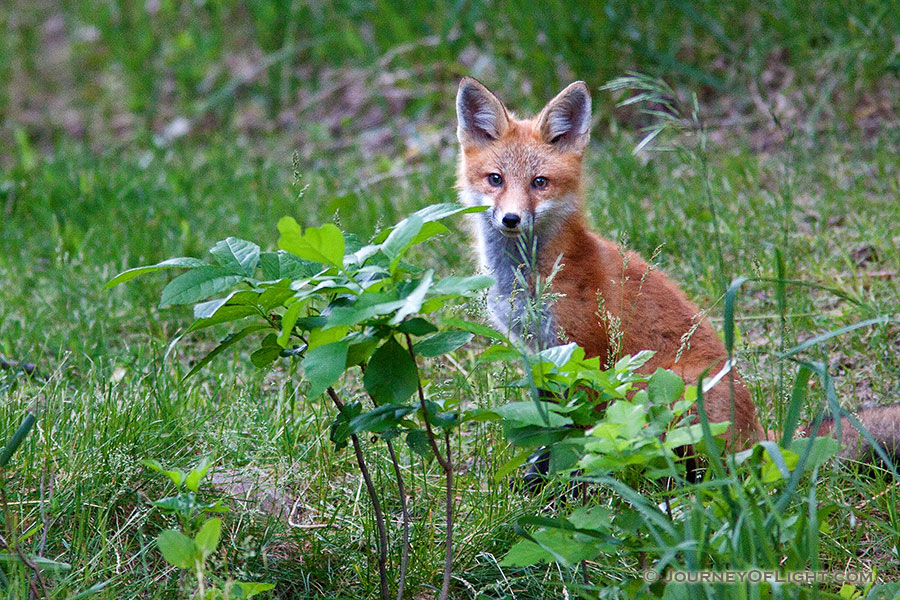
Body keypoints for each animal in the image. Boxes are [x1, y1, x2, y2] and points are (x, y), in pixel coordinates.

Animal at [458, 75, 900, 460]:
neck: (526, 276)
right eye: (495, 179)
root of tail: (760, 435)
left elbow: (580, 428)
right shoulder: (536, 351)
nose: (511, 219)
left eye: (540, 182)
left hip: (667, 392)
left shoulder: (586, 351)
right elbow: (551, 419)